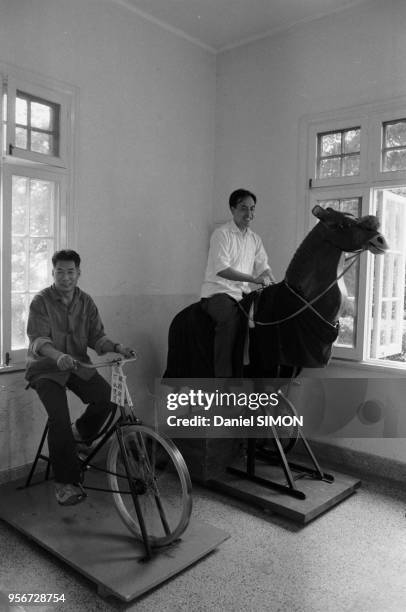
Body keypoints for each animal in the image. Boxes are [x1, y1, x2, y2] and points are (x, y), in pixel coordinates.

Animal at [164, 206, 386, 378]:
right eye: (344, 224)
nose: (381, 240)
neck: (301, 305)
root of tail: (177, 318)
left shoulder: (291, 368)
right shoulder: (267, 370)